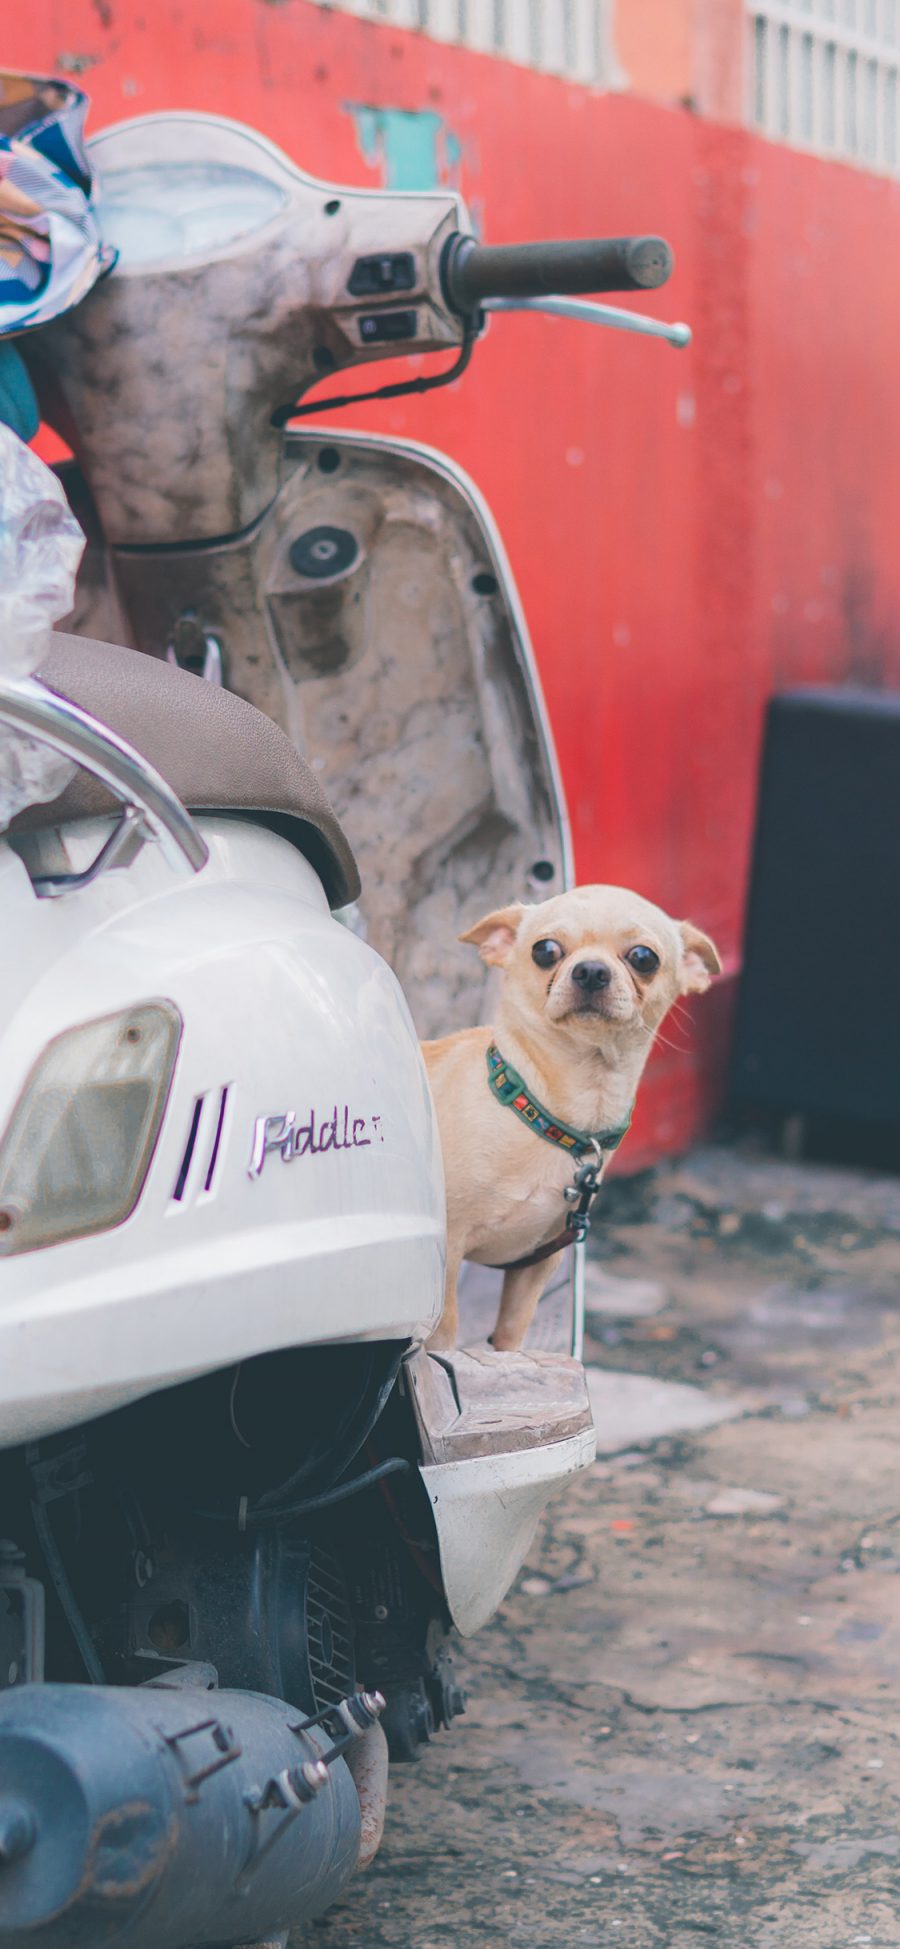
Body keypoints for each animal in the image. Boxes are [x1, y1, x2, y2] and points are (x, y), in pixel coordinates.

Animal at [422, 888, 724, 1356]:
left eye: (643, 957)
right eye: (545, 951)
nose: (591, 971)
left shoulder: (538, 1264)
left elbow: (511, 1335)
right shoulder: (449, 1252)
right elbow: (445, 1332)